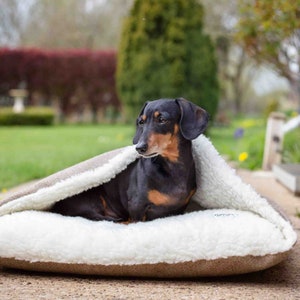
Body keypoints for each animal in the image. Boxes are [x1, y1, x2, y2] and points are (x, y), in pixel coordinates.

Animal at [51, 98, 209, 223]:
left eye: (162, 119)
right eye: (141, 122)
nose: (139, 147)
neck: (172, 168)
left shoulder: (180, 208)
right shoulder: (136, 206)